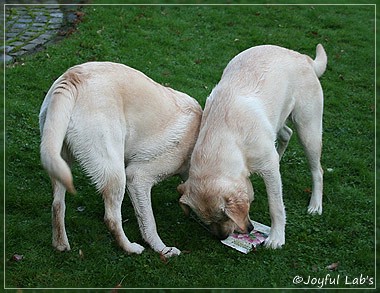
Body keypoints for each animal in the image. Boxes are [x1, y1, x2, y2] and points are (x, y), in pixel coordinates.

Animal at [39, 61, 202, 256]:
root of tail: (72, 78)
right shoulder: (137, 178)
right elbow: (149, 222)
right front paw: (163, 249)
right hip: (115, 174)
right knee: (111, 219)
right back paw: (130, 248)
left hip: (60, 162)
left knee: (57, 204)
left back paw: (61, 245)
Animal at [178, 44, 326, 248]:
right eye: (208, 222)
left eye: (225, 217)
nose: (221, 237)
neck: (225, 135)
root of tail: (303, 57)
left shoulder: (268, 169)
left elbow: (276, 206)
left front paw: (276, 237)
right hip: (278, 122)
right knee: (286, 135)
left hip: (308, 130)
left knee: (317, 170)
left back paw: (315, 205)